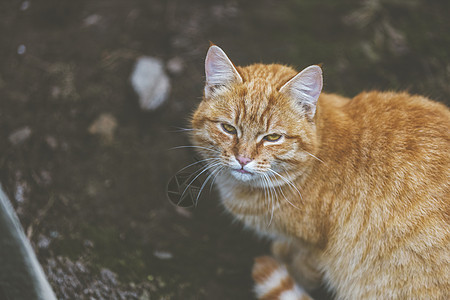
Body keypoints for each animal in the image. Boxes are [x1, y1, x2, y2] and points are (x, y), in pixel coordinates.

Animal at [191, 45, 450, 298]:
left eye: (272, 137)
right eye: (228, 128)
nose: (243, 159)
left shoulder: (315, 247)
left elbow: (304, 269)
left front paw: (289, 264)